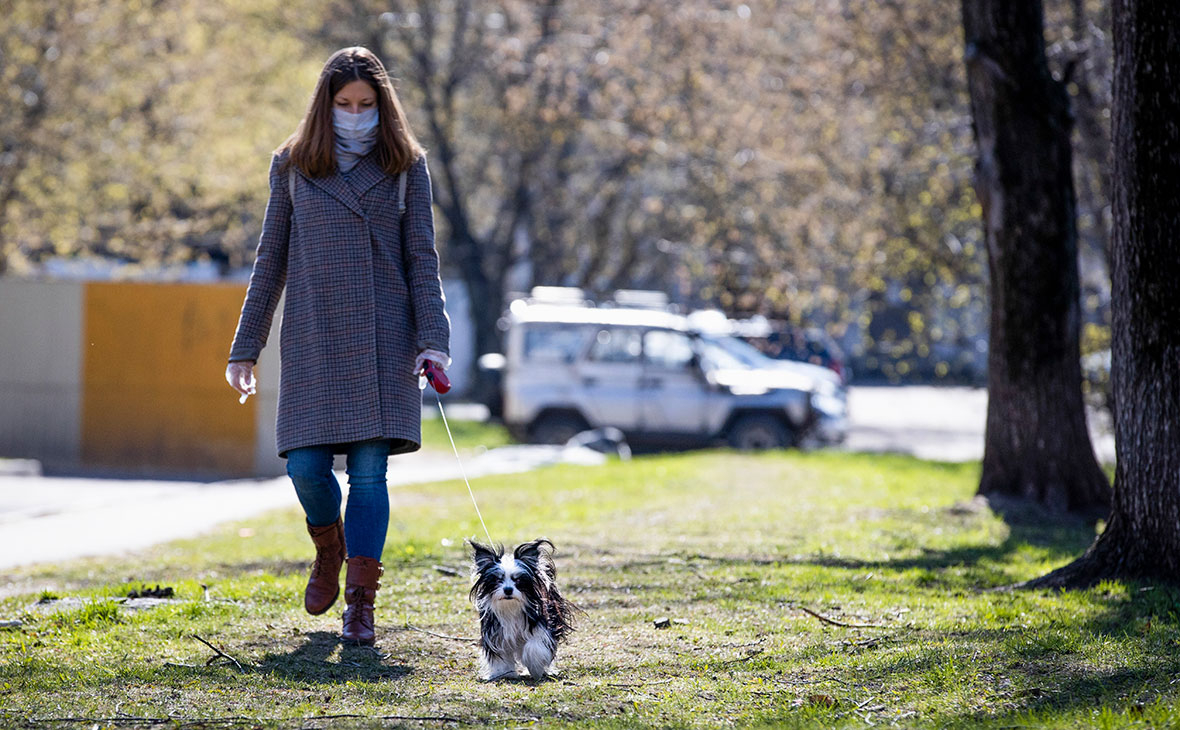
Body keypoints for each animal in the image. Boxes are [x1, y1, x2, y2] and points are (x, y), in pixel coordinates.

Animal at [471, 540, 578, 684]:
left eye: (518, 580)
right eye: (498, 579)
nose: (508, 590)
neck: (511, 607)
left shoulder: (541, 625)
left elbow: (534, 646)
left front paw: (535, 667)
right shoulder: (496, 634)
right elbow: (500, 655)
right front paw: (503, 673)